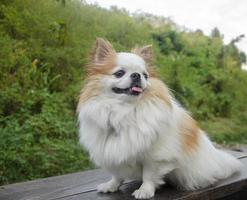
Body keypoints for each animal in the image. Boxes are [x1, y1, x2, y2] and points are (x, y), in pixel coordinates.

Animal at [77, 37, 243, 198]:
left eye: (145, 75)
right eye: (119, 73)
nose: (136, 75)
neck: (125, 111)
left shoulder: (155, 156)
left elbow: (149, 175)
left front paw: (145, 191)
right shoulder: (112, 153)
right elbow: (117, 174)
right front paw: (111, 185)